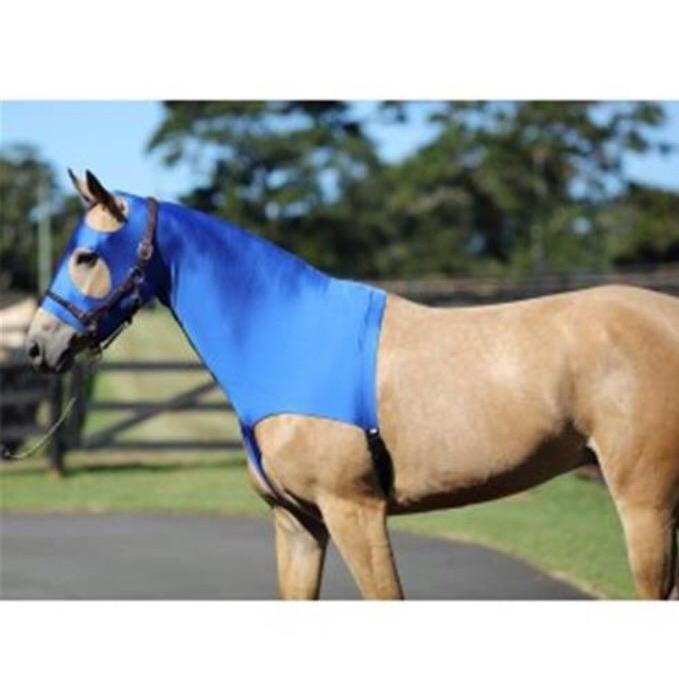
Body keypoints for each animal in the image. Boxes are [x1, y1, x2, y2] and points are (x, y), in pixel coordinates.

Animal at [26, 171, 679, 600]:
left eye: (86, 255)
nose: (37, 345)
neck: (284, 335)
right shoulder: (297, 524)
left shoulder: (355, 513)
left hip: (644, 505)